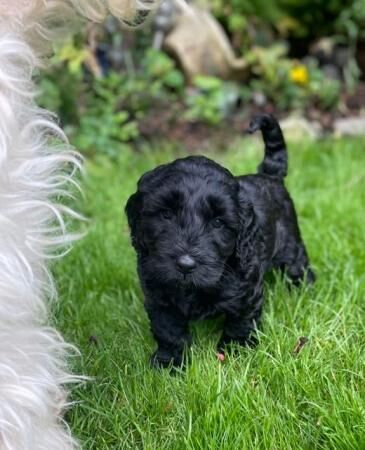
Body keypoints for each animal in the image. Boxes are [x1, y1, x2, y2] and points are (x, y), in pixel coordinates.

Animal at [125, 114, 312, 368]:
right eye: (166, 214)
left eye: (218, 222)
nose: (185, 265)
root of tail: (269, 175)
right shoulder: (158, 293)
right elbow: (168, 329)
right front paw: (169, 362)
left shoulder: (247, 293)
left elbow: (240, 323)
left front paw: (236, 353)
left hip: (290, 245)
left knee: (298, 266)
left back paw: (304, 290)